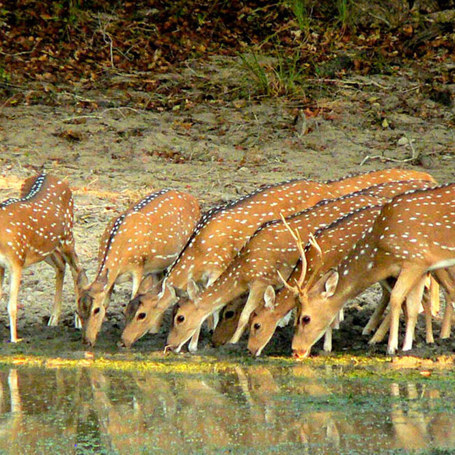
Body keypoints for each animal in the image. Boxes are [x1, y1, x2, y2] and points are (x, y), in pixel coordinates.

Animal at [0, 174, 84, 342]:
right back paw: (53, 320)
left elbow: (11, 305)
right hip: (46, 247)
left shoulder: (16, 259)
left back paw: (78, 321)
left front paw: (15, 339)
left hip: (67, 237)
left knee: (77, 268)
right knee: (61, 265)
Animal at [78, 189, 200, 346]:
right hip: (159, 264)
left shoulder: (138, 267)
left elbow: (133, 296)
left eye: (96, 310)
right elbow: (107, 300)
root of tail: (192, 198)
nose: (86, 341)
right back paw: (154, 330)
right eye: (78, 311)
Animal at [120, 169, 434, 348]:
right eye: (126, 310)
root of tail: (327, 187)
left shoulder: (223, 266)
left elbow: (225, 308)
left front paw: (207, 342)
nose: (124, 341)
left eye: (141, 313)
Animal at [290, 183, 455, 358]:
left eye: (305, 318)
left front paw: (392, 348)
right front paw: (408, 347)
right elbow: (412, 307)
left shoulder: (414, 259)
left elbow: (396, 298)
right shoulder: (422, 267)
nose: (295, 350)